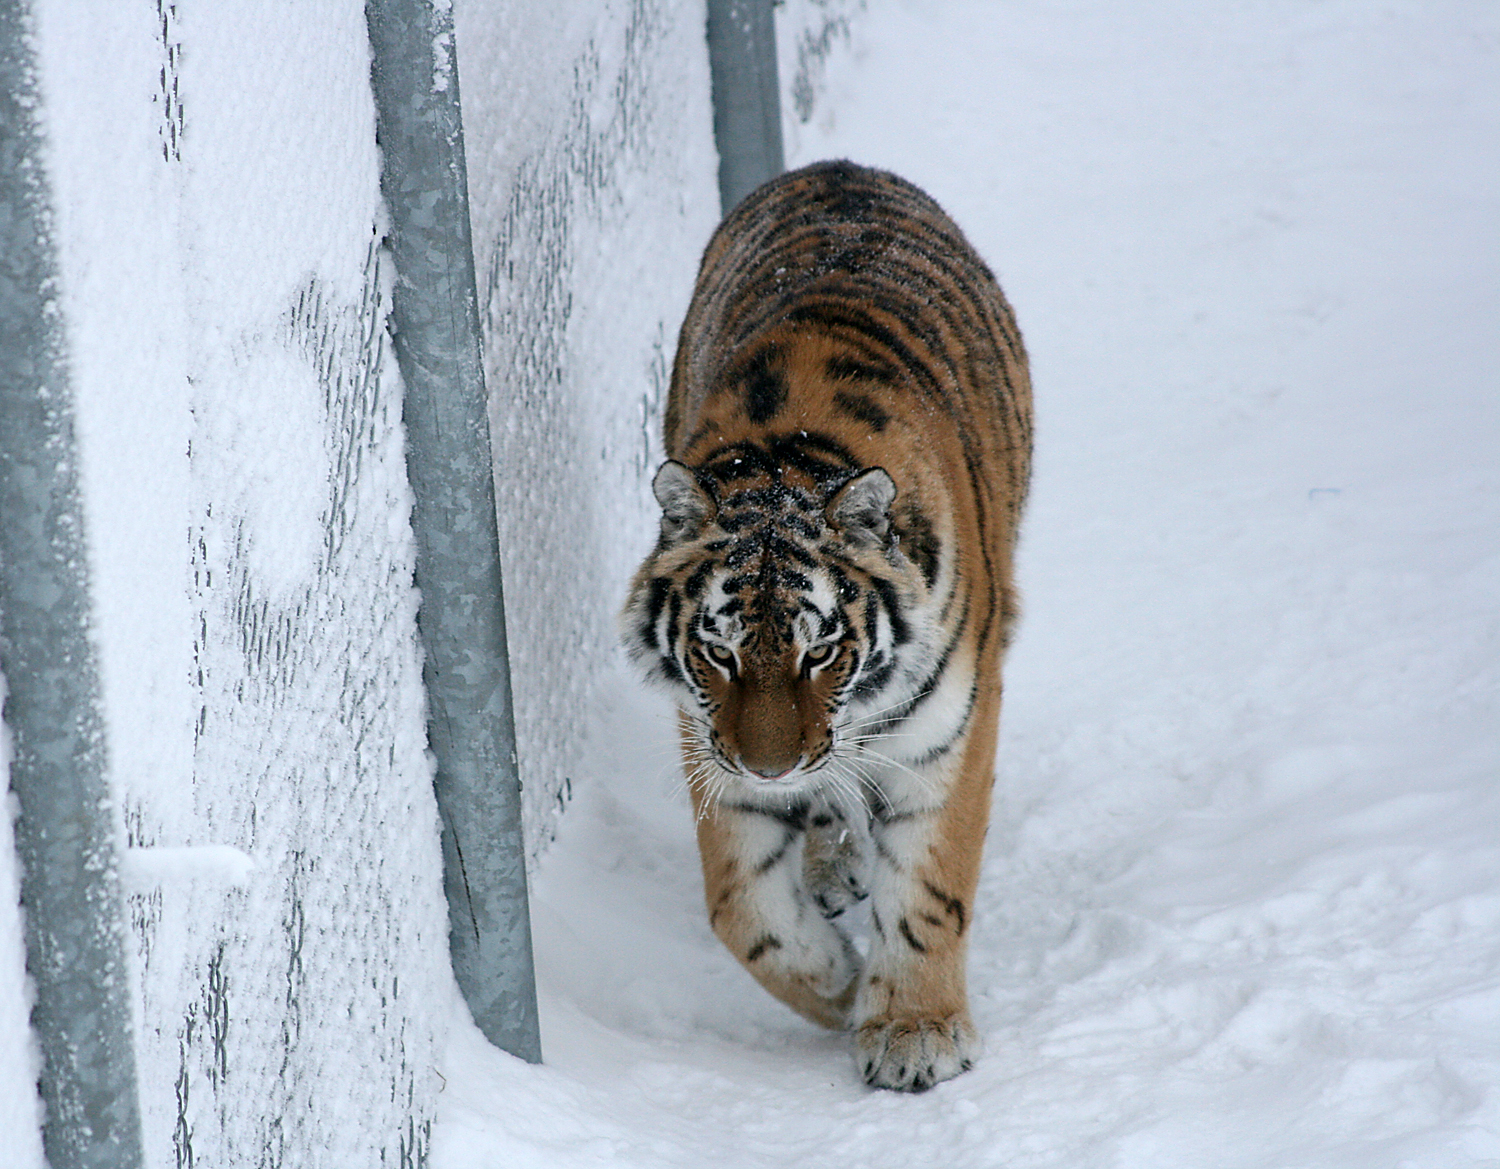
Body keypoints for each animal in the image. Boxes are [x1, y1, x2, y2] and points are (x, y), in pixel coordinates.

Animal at [622, 160, 1032, 1091]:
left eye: (822, 652)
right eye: (718, 651)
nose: (772, 767)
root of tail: (835, 167)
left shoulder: (950, 731)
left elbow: (930, 888)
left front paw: (914, 1030)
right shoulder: (712, 744)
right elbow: (744, 909)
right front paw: (840, 985)